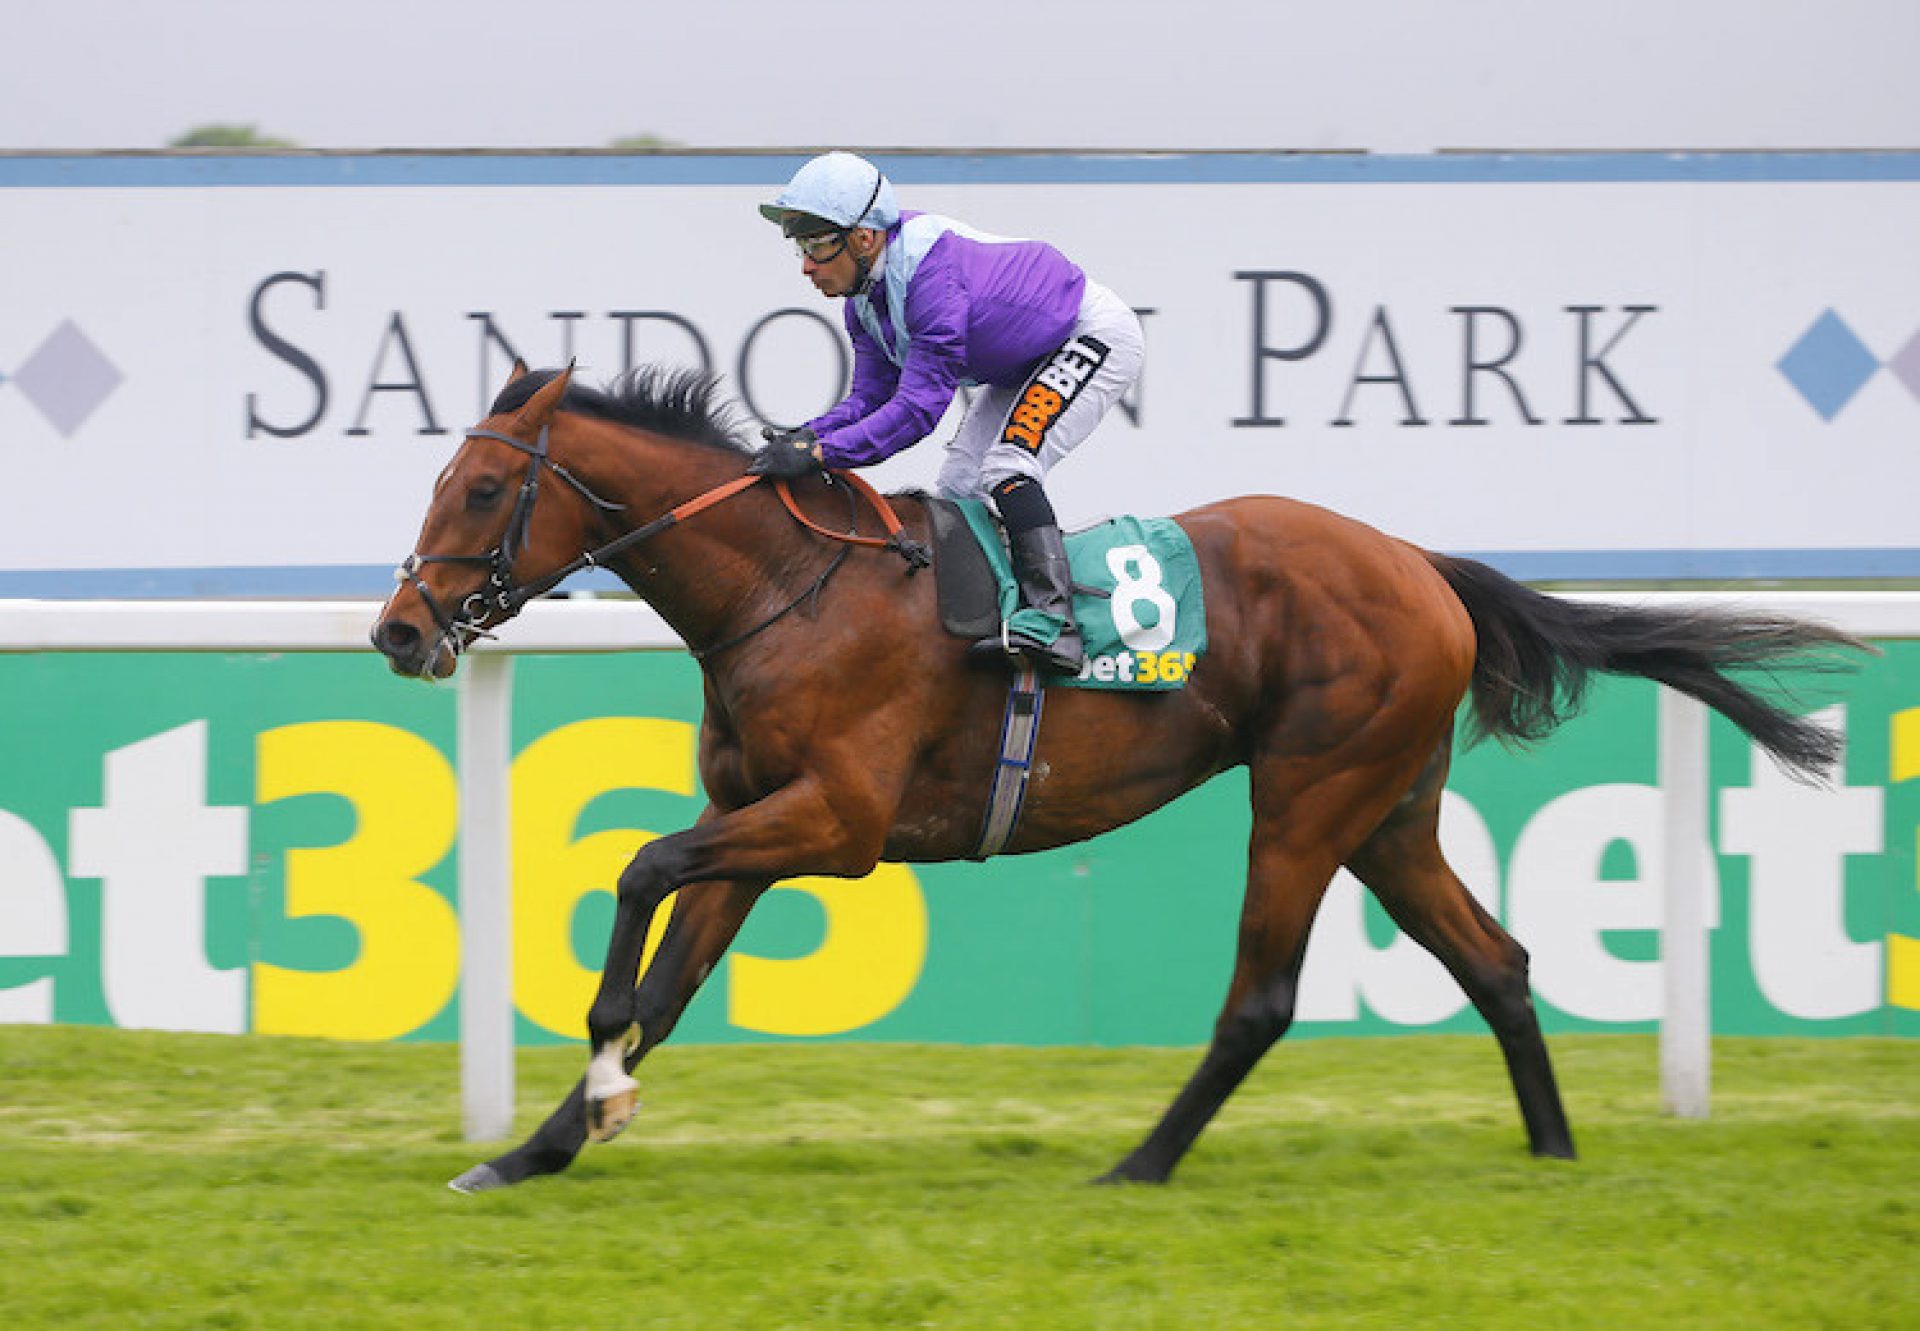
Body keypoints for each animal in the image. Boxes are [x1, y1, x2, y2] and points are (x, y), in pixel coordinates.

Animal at [366, 363, 1850, 1190]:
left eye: (484, 493)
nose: (397, 632)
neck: (792, 585)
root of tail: (1421, 565)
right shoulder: (758, 815)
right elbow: (673, 971)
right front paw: (535, 1145)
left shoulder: (835, 821)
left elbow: (639, 871)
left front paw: (596, 1069)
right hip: (1389, 808)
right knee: (1496, 960)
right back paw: (1552, 1155)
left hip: (1307, 794)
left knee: (1260, 997)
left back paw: (1140, 1160)